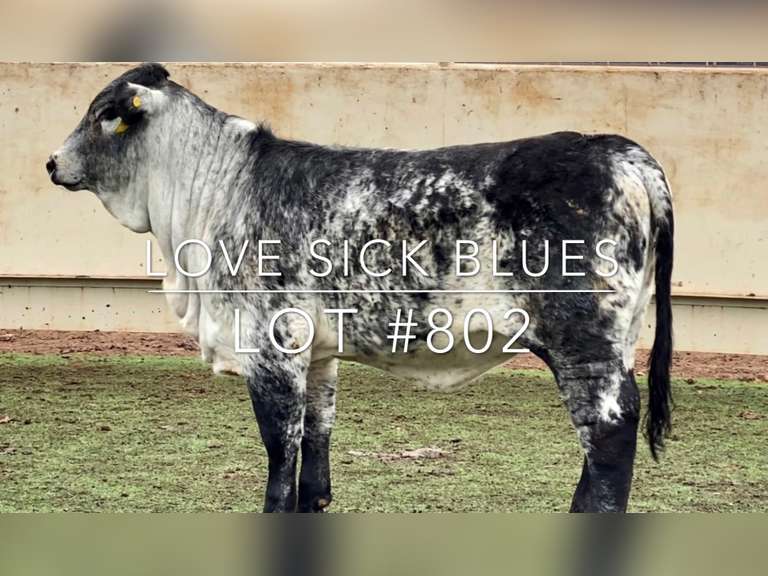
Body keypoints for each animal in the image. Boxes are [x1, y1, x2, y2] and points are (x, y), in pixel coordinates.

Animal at [47, 63, 673, 512]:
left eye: (105, 114)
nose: (52, 162)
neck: (217, 189)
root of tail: (621, 151)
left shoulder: (270, 350)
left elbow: (281, 453)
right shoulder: (318, 352)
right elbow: (315, 448)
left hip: (584, 342)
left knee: (610, 431)